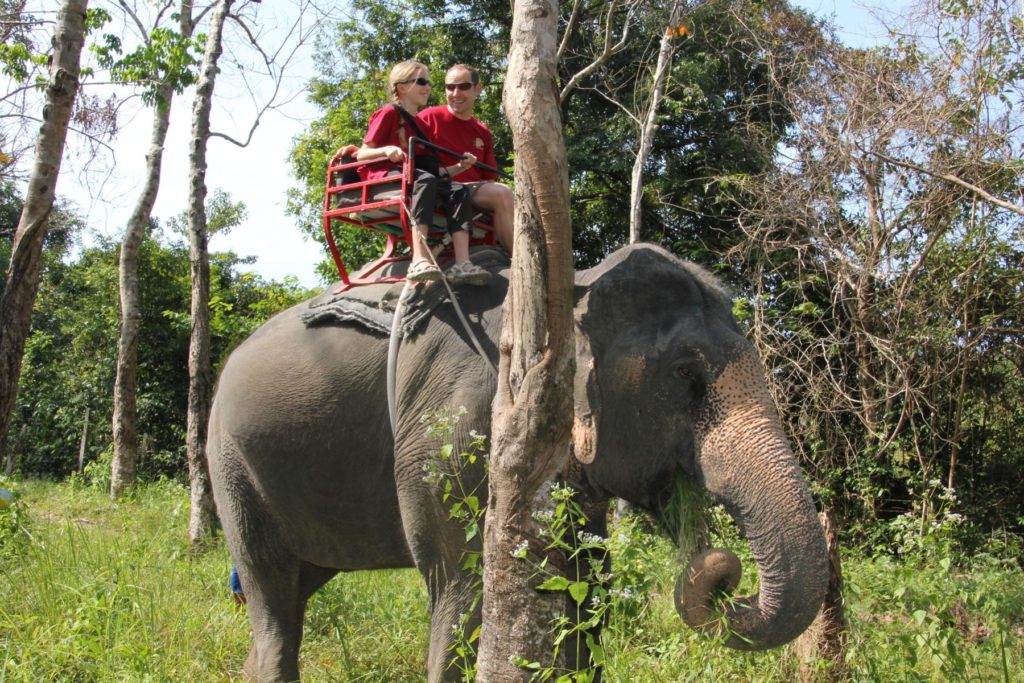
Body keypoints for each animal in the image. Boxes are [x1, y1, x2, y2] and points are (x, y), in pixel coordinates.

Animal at [209, 245, 831, 683]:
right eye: (686, 375)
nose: (724, 576)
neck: (572, 293)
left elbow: (587, 585)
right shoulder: (456, 429)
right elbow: (464, 587)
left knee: (295, 589)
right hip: (231, 462)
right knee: (270, 586)